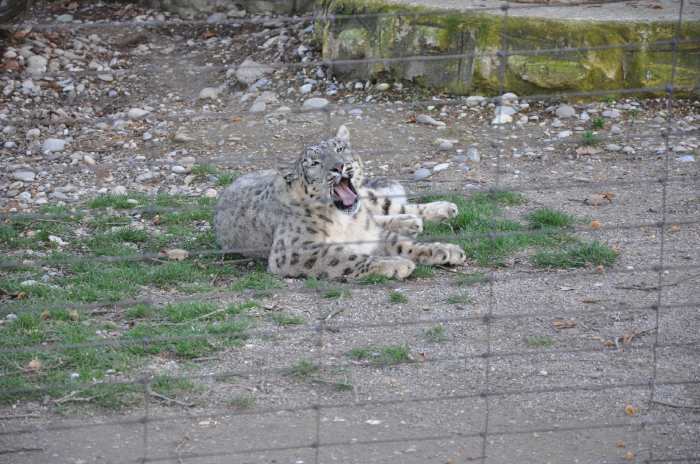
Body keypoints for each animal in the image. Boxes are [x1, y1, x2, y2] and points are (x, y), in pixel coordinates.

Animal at [213, 125, 464, 280]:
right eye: (314, 163)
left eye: (340, 148)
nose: (339, 166)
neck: (346, 221)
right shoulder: (296, 250)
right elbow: (345, 256)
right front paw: (394, 264)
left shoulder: (370, 232)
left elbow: (403, 244)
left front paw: (445, 250)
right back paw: (411, 222)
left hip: (371, 198)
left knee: (390, 205)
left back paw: (441, 209)